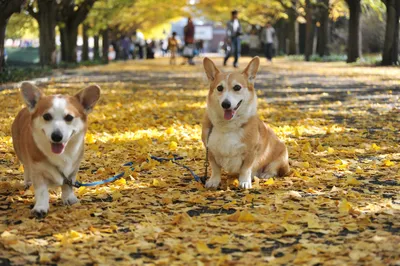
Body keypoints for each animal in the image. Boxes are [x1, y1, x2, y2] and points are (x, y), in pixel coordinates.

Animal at [12, 82, 101, 217]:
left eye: (69, 117)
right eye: (46, 116)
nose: (56, 136)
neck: (61, 155)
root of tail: (24, 109)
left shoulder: (72, 171)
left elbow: (67, 186)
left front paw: (68, 198)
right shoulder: (38, 172)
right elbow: (42, 192)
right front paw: (40, 207)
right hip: (22, 155)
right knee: (26, 168)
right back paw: (27, 182)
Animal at [202, 57, 290, 188]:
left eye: (237, 87)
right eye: (219, 88)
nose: (226, 104)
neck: (228, 126)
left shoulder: (251, 152)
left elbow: (245, 169)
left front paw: (244, 182)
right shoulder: (210, 151)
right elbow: (215, 168)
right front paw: (214, 181)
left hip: (281, 154)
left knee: (273, 169)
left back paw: (266, 174)